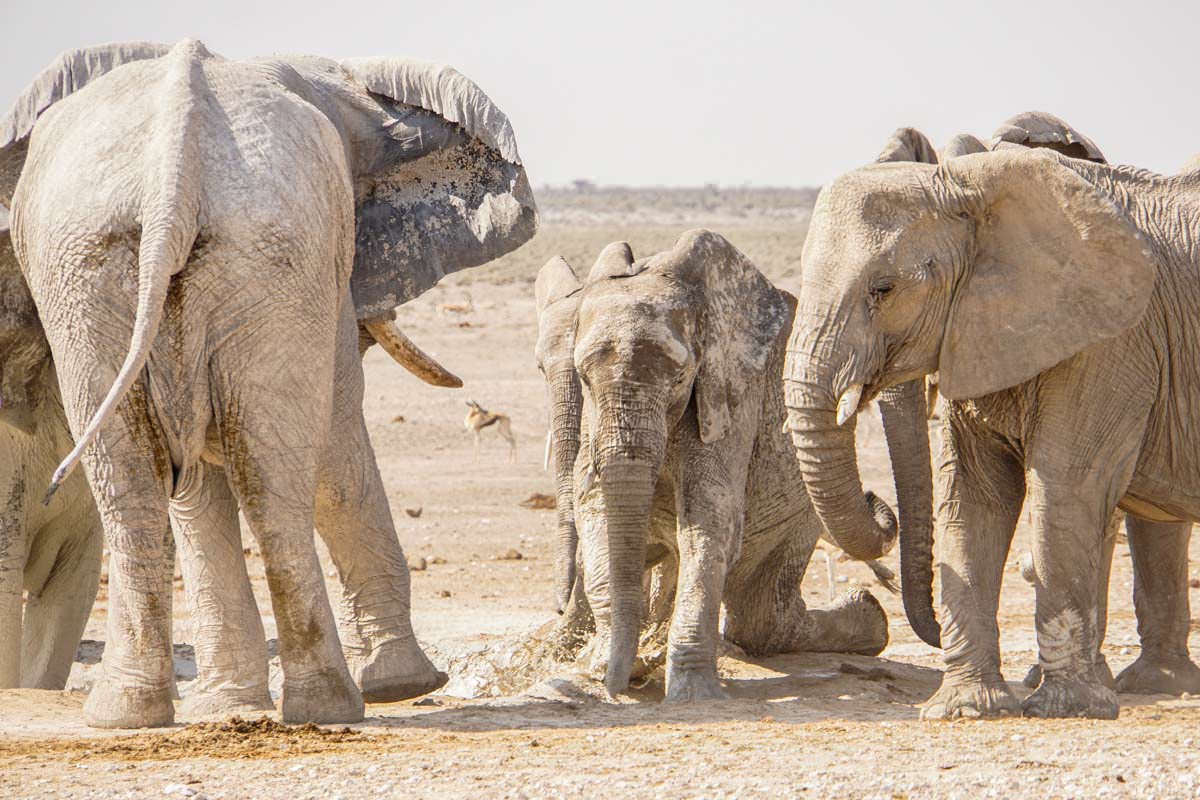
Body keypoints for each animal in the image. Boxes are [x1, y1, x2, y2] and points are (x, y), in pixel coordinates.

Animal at [0, 43, 535, 734]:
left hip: (102, 271)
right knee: (268, 474)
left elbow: (202, 478)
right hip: (234, 257)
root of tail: (170, 173)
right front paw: (406, 687)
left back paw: (125, 716)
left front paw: (227, 706)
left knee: (144, 482)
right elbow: (336, 444)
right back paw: (332, 706)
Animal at [549, 231, 902, 700]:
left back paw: (869, 613)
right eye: (584, 376)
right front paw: (602, 666)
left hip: (799, 515)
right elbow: (594, 506)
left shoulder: (733, 394)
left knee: (761, 619)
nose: (622, 683)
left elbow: (710, 519)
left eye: (680, 377)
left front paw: (692, 693)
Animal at [782, 140, 1200, 724]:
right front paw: (964, 710)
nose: (877, 503)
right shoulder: (978, 331)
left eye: (883, 290)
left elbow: (1066, 487)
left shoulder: (1113, 340)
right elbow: (975, 497)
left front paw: (1065, 708)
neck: (969, 185)